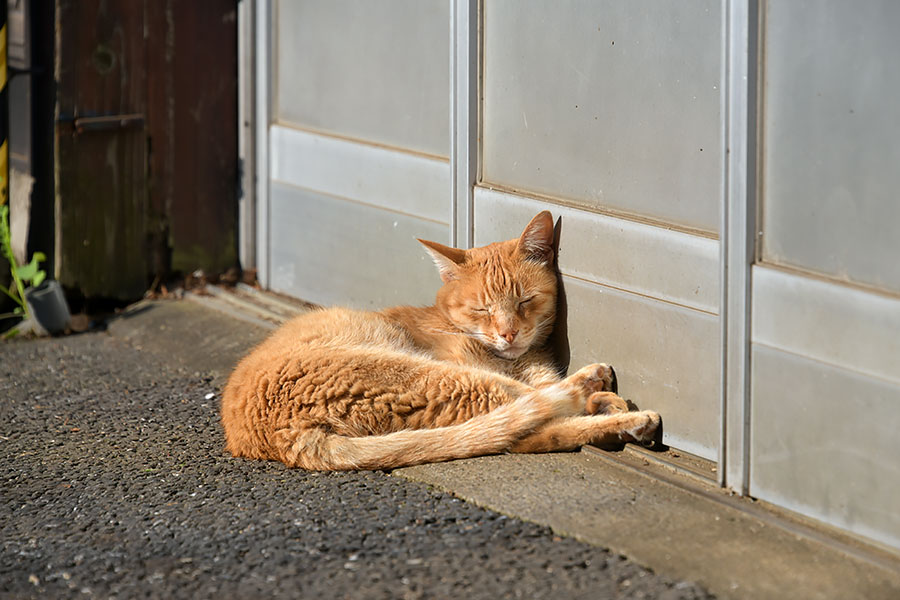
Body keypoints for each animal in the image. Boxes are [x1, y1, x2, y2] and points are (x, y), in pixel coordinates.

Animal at [223, 213, 660, 472]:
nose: (508, 333)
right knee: (532, 408)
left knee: (529, 433)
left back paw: (616, 419)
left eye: (524, 301)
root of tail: (280, 436)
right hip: (436, 377)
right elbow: (540, 396)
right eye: (482, 309)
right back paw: (614, 404)